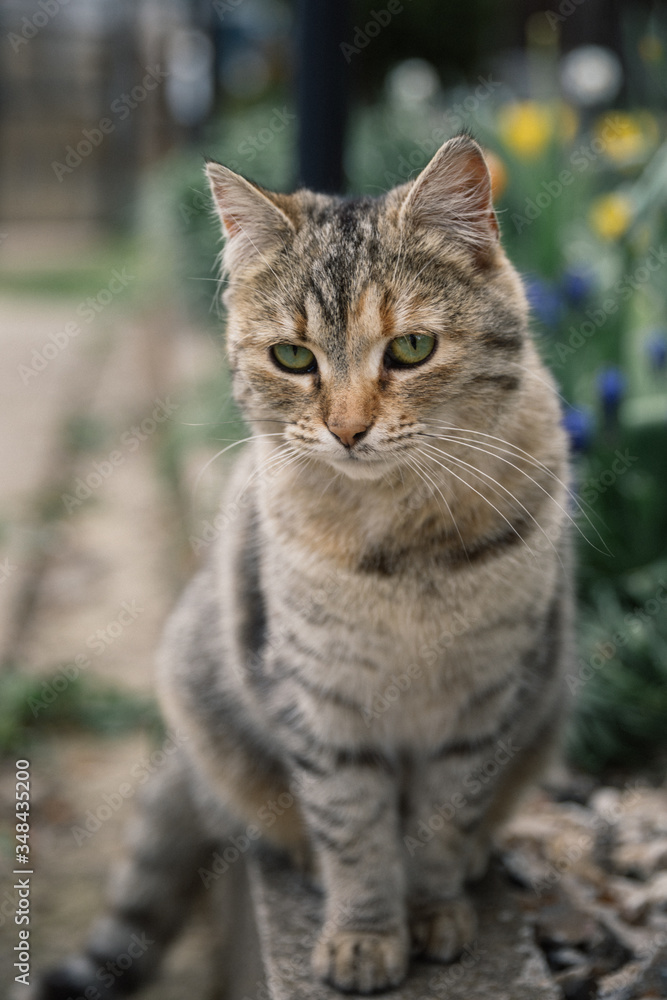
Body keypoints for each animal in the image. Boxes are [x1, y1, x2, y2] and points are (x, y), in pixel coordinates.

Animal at [39, 135, 576, 1000]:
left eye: (412, 348)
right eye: (292, 357)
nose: (348, 430)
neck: (402, 541)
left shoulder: (480, 704)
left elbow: (442, 819)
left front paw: (434, 913)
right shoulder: (322, 704)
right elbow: (353, 830)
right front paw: (364, 936)